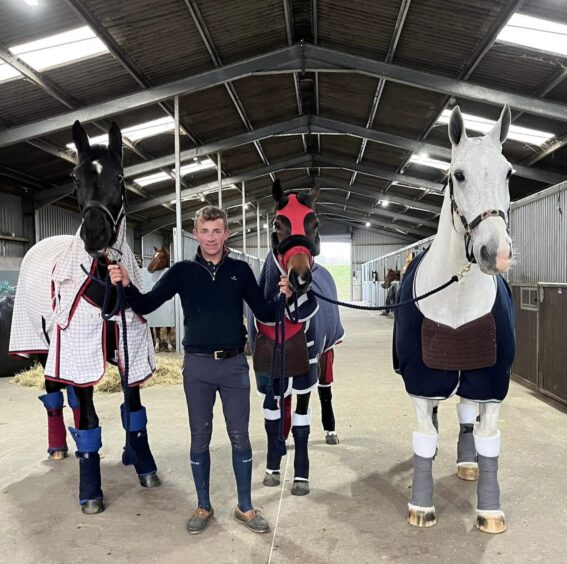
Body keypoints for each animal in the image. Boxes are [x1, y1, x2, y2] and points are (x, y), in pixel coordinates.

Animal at [8, 121, 161, 512]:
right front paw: (91, 492)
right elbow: (91, 417)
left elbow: (133, 409)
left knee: (76, 399)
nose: (95, 234)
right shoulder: (77, 347)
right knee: (55, 395)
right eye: (75, 178)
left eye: (119, 176)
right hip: (47, 348)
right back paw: (60, 448)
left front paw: (143, 464)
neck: (105, 281)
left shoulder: (129, 347)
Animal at [250, 178, 346, 496]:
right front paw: (272, 467)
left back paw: (330, 430)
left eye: (314, 223)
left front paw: (301, 477)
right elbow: (272, 418)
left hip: (327, 354)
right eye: (277, 224)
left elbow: (303, 423)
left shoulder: (308, 367)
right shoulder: (266, 373)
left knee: (326, 390)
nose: (300, 278)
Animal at [394, 106, 516, 532]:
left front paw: (491, 512)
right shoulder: (421, 378)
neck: (457, 295)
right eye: (458, 175)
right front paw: (421, 506)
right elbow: (424, 434)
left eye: (508, 173)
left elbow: (489, 440)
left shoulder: (492, 378)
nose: (496, 253)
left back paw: (467, 465)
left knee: (466, 415)